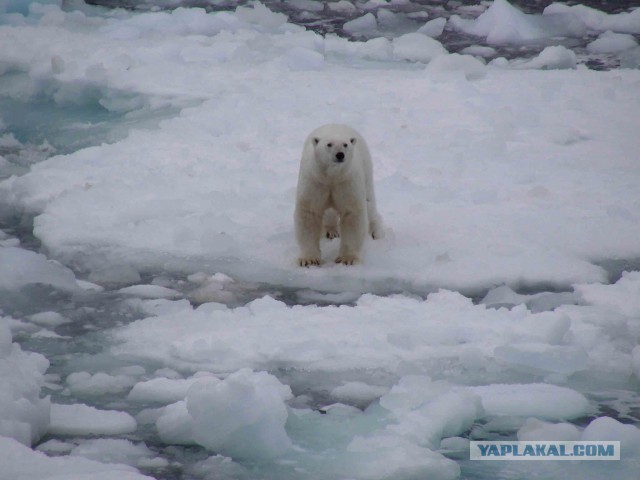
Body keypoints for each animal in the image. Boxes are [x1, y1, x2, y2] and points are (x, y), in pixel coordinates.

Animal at [296, 124, 384, 266]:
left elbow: (352, 214)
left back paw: (376, 232)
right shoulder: (316, 180)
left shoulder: (347, 181)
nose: (340, 155)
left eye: (345, 144)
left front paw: (347, 259)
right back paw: (330, 231)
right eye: (329, 144)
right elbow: (310, 213)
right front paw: (308, 260)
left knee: (369, 202)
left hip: (366, 169)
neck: (332, 176)